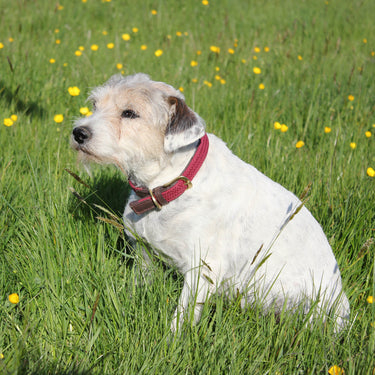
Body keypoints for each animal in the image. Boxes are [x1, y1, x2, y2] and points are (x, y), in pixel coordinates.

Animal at [72, 72, 352, 332]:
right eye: (95, 104)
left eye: (129, 113)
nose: (78, 132)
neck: (169, 183)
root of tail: (342, 307)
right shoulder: (144, 255)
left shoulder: (202, 270)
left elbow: (181, 317)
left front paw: (170, 342)